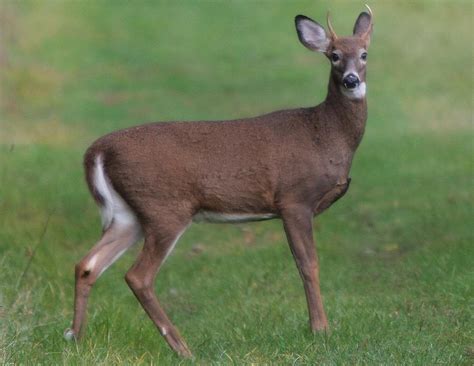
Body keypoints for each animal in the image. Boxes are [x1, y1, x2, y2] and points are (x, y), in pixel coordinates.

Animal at [64, 6, 374, 358]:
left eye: (364, 54)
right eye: (334, 56)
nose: (351, 79)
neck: (325, 135)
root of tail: (98, 150)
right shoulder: (294, 198)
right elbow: (308, 264)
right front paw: (320, 330)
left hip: (128, 214)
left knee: (87, 264)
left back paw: (76, 337)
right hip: (164, 207)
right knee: (137, 276)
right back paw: (182, 348)